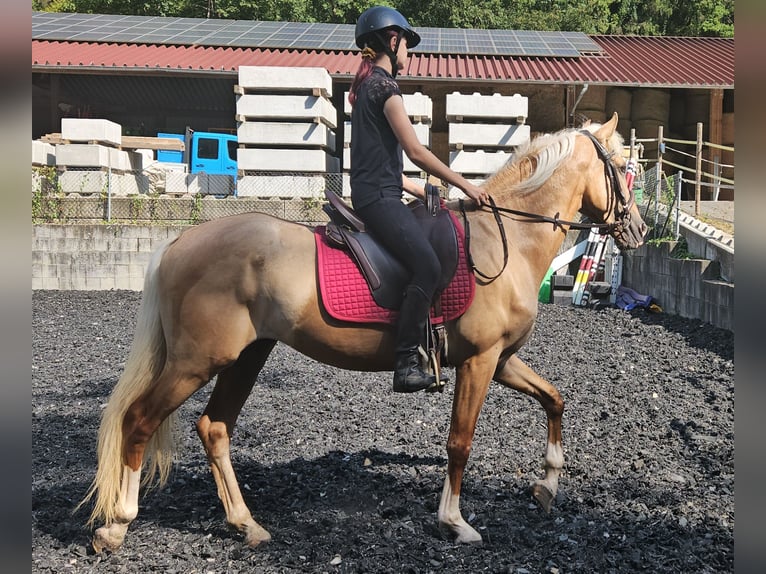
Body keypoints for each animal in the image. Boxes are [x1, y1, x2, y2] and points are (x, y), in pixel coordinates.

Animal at [81, 113, 648, 552]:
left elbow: (554, 399)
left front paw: (547, 486)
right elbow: (460, 441)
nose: (639, 231)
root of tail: (180, 242)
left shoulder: (502, 359)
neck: (503, 238)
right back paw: (117, 527)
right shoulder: (481, 361)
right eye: (624, 168)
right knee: (139, 420)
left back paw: (246, 525)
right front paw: (455, 523)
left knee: (214, 428)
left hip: (245, 357)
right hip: (196, 362)